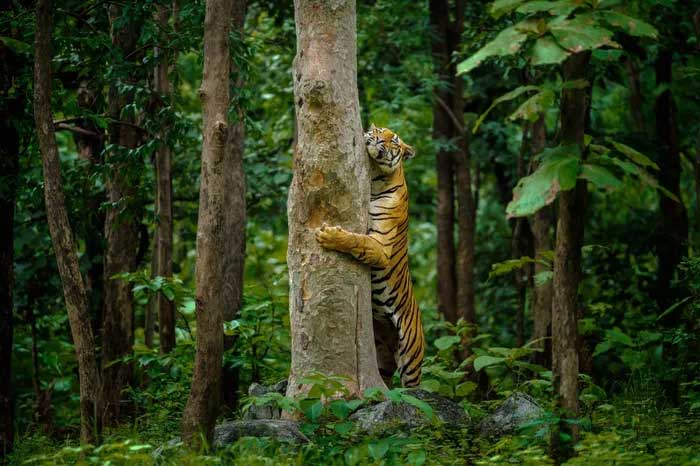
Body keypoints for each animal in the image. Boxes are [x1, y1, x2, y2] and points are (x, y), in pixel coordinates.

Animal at [314, 123, 424, 386]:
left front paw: (329, 236)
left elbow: (358, 240)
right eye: (380, 131)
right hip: (382, 352)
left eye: (394, 140)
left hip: (411, 358)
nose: (380, 139)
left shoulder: (380, 245)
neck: (375, 178)